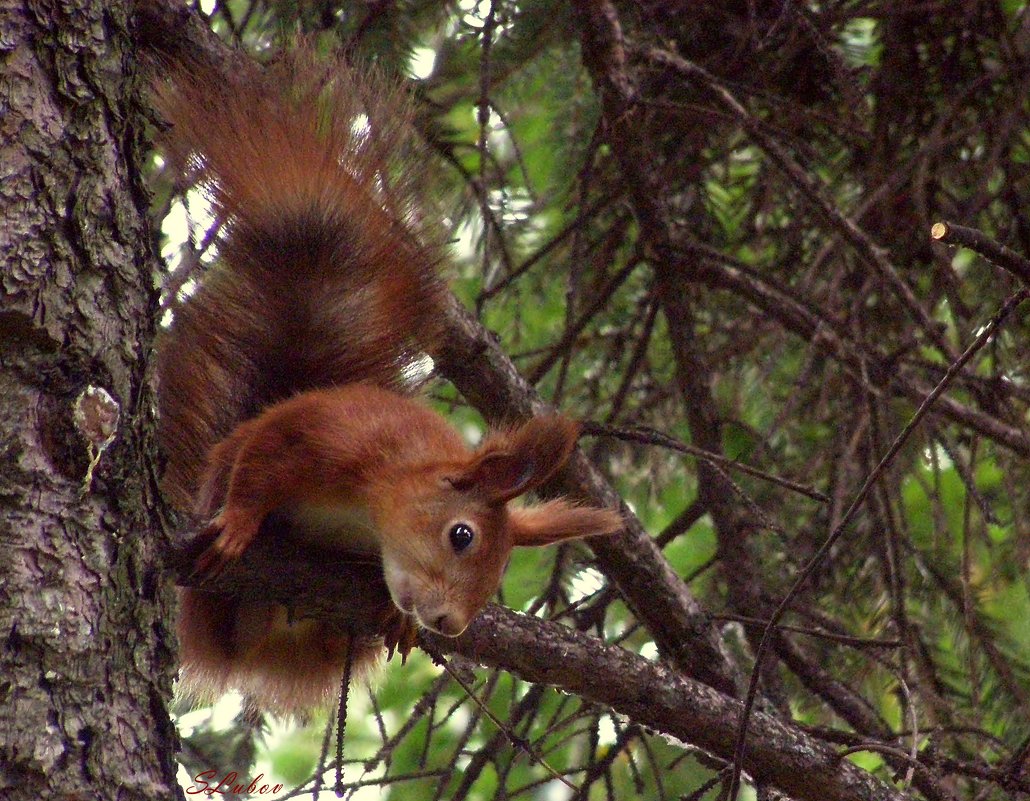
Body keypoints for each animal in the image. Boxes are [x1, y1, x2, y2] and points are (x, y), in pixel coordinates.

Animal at [151, 51, 618, 712]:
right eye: (461, 536)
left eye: (500, 572)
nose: (449, 623)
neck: (373, 503)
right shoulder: (321, 433)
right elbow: (262, 464)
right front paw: (240, 521)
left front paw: (397, 614)